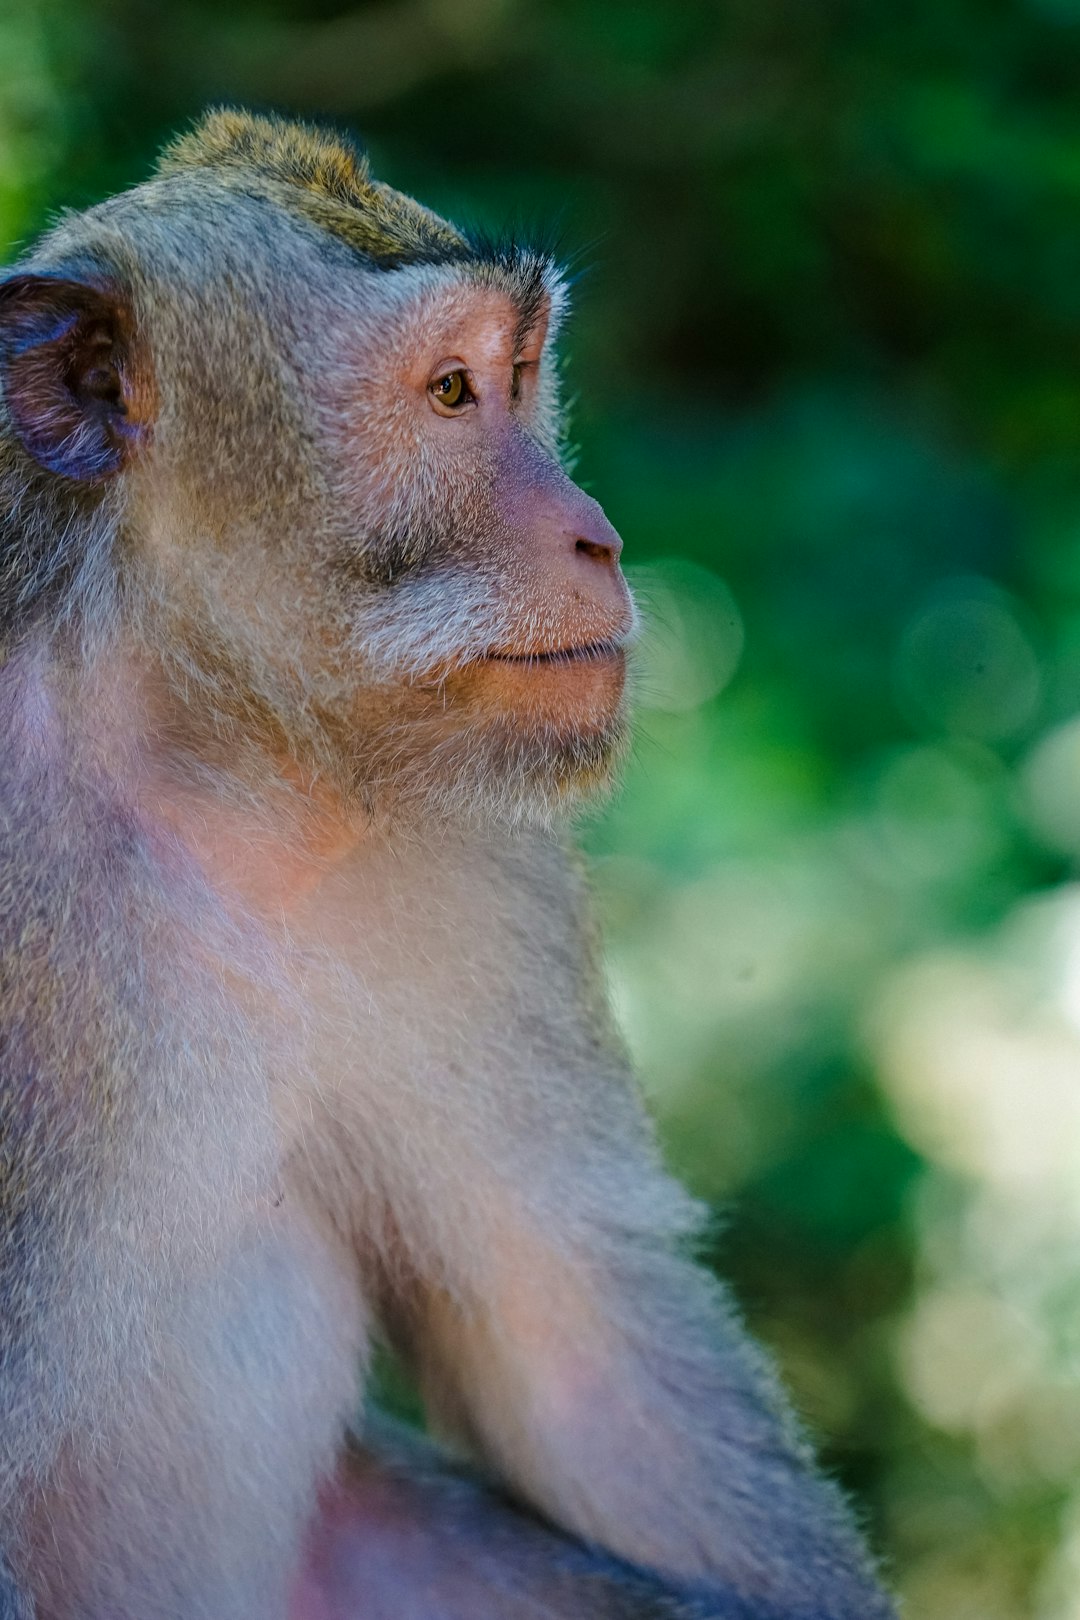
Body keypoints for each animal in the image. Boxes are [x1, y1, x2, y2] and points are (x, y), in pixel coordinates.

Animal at [0, 114, 900, 1620]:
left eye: (521, 378)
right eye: (448, 392)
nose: (596, 532)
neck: (205, 771)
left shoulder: (484, 858)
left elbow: (576, 1337)